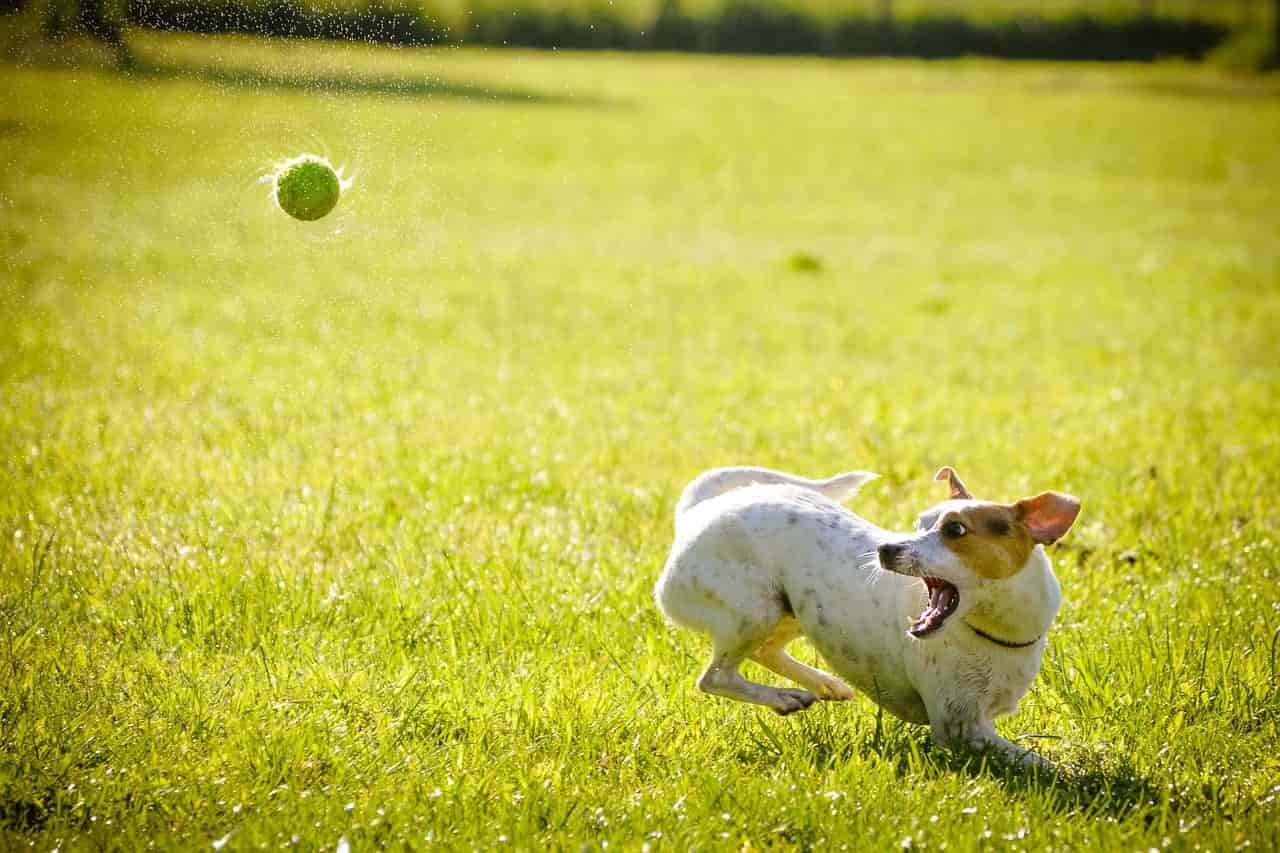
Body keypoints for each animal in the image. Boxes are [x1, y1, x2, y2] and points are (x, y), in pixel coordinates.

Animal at [655, 466, 1085, 763]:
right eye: (919, 523)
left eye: (956, 530)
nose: (886, 549)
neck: (992, 630)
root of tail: (697, 512)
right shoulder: (960, 728)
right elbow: (1037, 761)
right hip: (755, 610)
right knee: (715, 677)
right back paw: (785, 696)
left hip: (791, 611)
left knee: (765, 651)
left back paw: (823, 684)